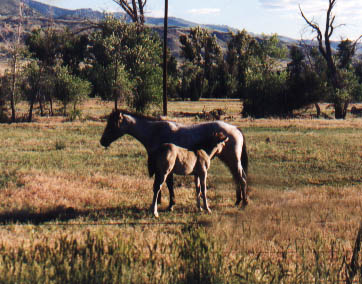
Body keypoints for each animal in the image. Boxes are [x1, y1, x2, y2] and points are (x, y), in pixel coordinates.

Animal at [101, 110, 249, 212]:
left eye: (111, 125)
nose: (102, 141)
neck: (155, 132)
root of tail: (236, 129)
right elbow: (165, 184)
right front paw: (162, 202)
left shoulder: (166, 168)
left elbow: (168, 185)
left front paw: (168, 204)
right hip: (230, 161)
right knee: (238, 178)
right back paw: (238, 201)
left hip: (233, 161)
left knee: (241, 179)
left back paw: (244, 203)